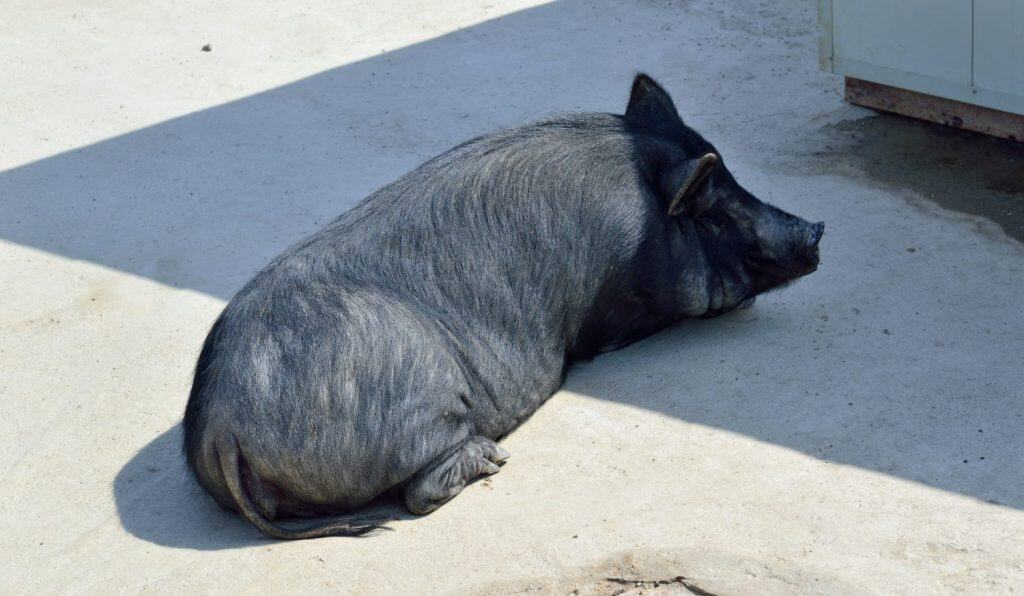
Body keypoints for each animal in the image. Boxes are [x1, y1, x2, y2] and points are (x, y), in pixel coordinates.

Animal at [182, 74, 824, 539]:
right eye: (716, 215)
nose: (816, 230)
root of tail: (221, 427)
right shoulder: (613, 307)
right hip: (419, 402)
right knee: (416, 492)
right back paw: (492, 458)